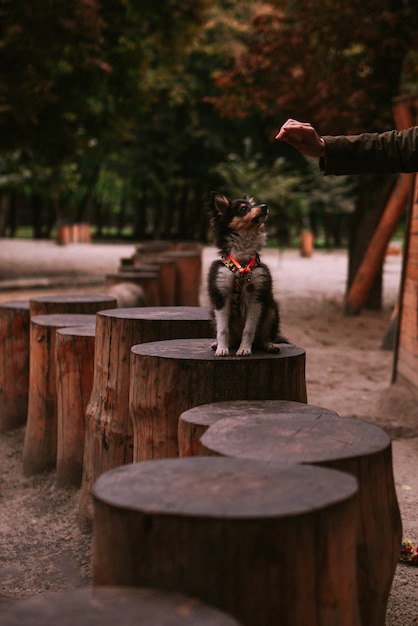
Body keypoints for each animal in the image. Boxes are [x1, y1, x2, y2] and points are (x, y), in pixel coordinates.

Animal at [207, 189, 286, 356]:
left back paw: (269, 345)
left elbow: (249, 329)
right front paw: (222, 349)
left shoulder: (256, 298)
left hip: (271, 308)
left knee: (262, 336)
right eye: (243, 209)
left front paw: (244, 349)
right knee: (230, 336)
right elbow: (223, 329)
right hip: (213, 311)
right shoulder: (221, 296)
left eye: (253, 204)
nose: (264, 206)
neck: (242, 264)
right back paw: (221, 344)